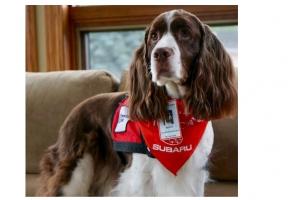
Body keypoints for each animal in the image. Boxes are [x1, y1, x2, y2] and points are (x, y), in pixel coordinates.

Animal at [37, 9, 237, 197]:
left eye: (185, 33)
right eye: (154, 36)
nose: (160, 53)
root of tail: (75, 110)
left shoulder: (194, 174)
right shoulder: (140, 177)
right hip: (74, 169)